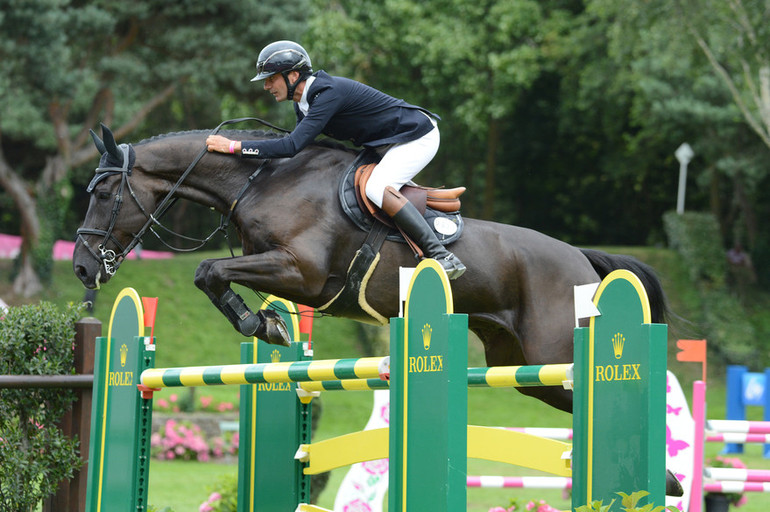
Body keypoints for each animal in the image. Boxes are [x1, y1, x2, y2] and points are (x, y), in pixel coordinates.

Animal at [75, 124, 668, 416]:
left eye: (103, 193)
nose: (82, 268)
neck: (262, 179)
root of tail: (582, 259)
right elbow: (212, 275)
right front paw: (268, 324)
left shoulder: (302, 273)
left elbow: (210, 271)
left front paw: (262, 324)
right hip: (523, 367)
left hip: (554, 355)